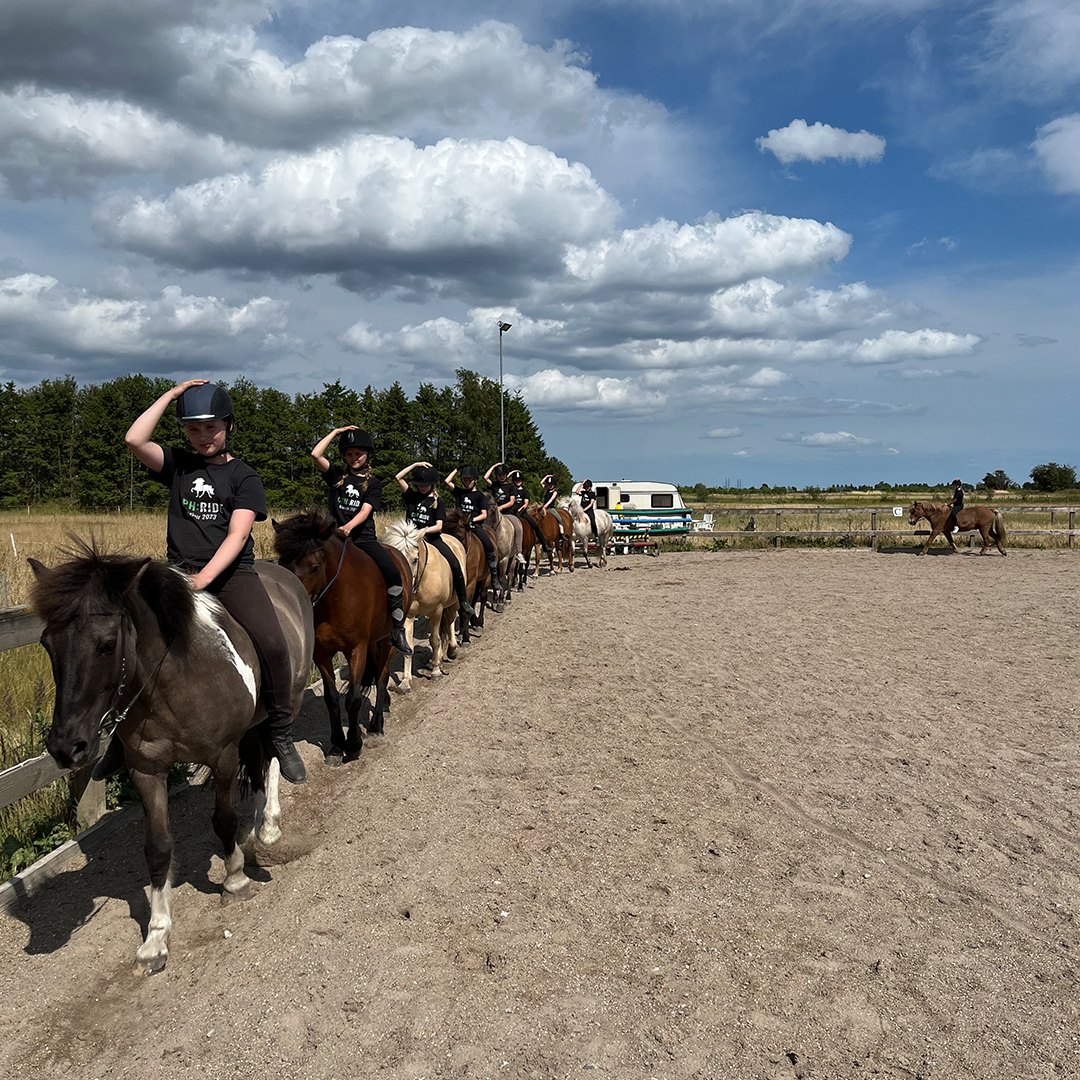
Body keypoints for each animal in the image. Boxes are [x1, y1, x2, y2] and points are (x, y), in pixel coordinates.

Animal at [29, 544, 315, 976]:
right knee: (259, 762)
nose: (66, 746)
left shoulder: (222, 755)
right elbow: (158, 847)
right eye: (47, 643)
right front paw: (156, 938)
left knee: (276, 755)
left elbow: (223, 819)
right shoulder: (145, 770)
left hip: (288, 698)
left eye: (107, 644)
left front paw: (234, 880)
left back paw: (268, 826)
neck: (172, 680)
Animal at [380, 516, 464, 691]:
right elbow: (409, 646)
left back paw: (451, 651)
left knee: (451, 621)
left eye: (415, 560)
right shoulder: (408, 616)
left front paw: (436, 672)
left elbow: (435, 640)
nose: (401, 589)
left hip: (453, 603)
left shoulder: (437, 611)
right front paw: (405, 681)